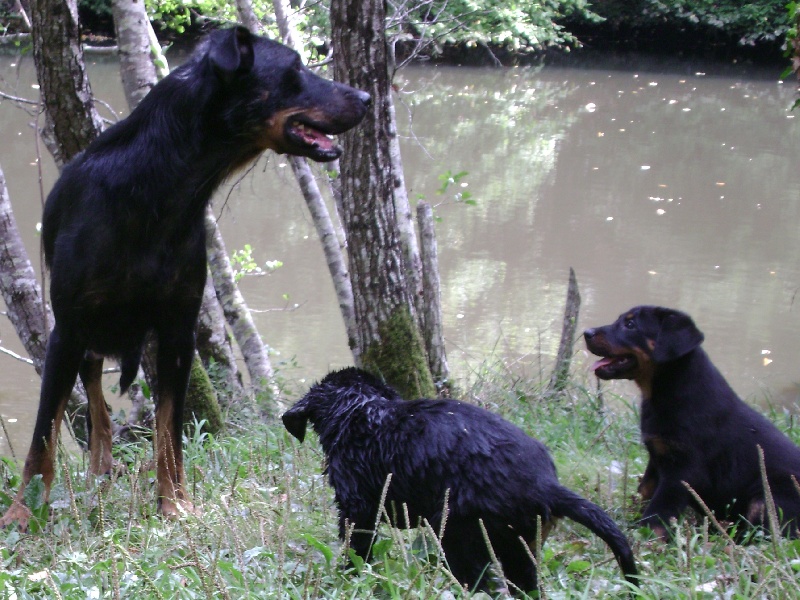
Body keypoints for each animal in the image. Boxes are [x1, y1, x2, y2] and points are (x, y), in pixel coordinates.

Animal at [0, 27, 368, 528]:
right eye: (294, 68)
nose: (367, 97)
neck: (160, 188)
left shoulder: (178, 332)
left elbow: (169, 432)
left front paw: (175, 503)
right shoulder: (68, 329)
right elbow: (42, 438)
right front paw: (22, 514)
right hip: (84, 336)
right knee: (93, 394)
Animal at [282, 368, 636, 592]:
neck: (358, 408)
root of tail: (543, 485)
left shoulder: (358, 507)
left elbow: (356, 545)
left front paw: (350, 576)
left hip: (459, 535)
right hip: (520, 545)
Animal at [584, 304, 800, 540]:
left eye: (630, 324)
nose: (587, 333)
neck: (665, 393)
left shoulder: (683, 471)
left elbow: (658, 513)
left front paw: (646, 538)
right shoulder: (657, 455)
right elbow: (645, 490)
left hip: (767, 498)